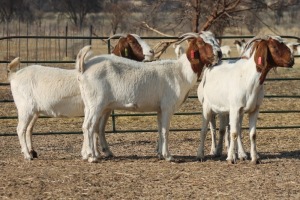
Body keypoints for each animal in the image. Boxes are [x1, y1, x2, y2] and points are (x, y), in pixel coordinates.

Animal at [7, 33, 154, 161]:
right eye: (132, 41)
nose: (151, 52)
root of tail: (14, 75)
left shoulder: (104, 109)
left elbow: (98, 128)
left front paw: (98, 151)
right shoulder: (98, 108)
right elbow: (95, 128)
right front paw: (92, 152)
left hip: (34, 110)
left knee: (28, 129)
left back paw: (32, 152)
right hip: (25, 108)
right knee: (21, 129)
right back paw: (27, 155)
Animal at [77, 31, 223, 162]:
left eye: (215, 40)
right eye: (201, 42)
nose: (219, 53)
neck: (181, 71)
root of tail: (85, 67)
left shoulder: (160, 109)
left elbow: (159, 130)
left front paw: (160, 154)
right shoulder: (167, 107)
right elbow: (165, 131)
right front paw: (168, 156)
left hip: (90, 105)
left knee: (89, 126)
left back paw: (89, 154)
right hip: (97, 103)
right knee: (88, 126)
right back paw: (92, 157)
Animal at [197, 35, 292, 164]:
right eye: (274, 46)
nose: (292, 60)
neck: (248, 78)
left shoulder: (254, 109)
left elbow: (251, 134)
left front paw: (254, 158)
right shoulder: (234, 109)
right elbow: (233, 133)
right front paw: (230, 158)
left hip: (230, 111)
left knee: (230, 129)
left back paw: (240, 154)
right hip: (207, 107)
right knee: (206, 130)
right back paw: (202, 154)